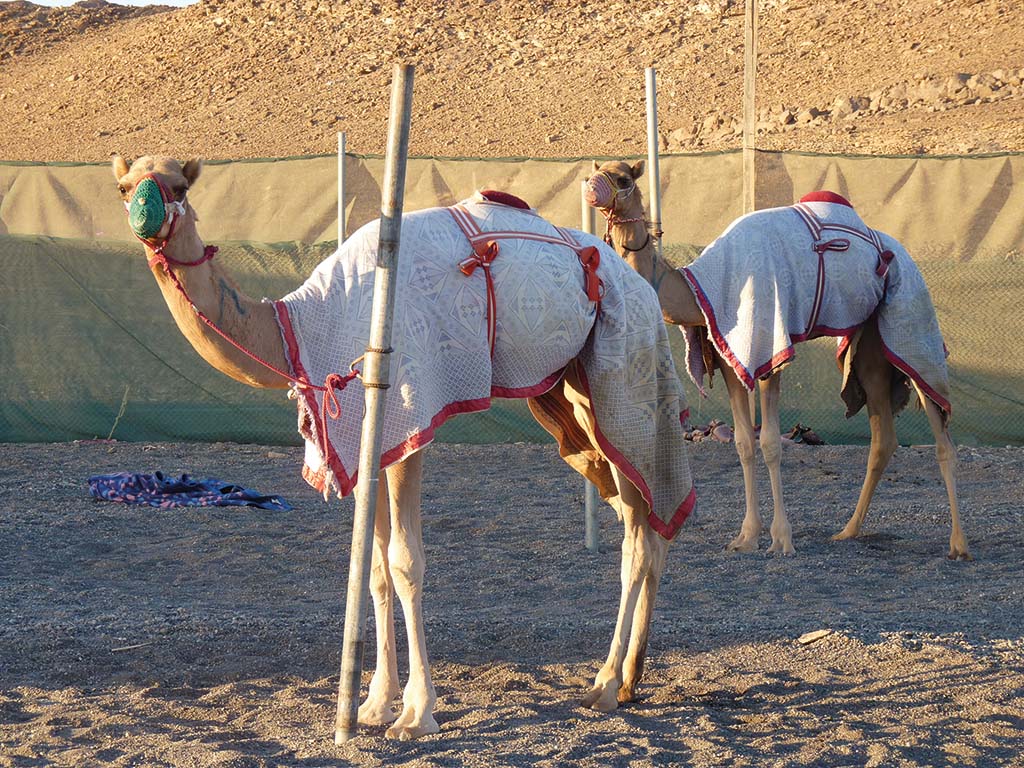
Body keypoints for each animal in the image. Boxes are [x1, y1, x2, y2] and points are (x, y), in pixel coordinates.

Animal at [112, 154, 696, 740]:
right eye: (123, 185)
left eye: (178, 185)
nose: (144, 217)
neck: (298, 327)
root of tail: (641, 286)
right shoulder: (367, 439)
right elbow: (372, 569)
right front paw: (373, 705)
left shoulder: (409, 417)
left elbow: (404, 562)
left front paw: (416, 714)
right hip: (571, 395)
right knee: (648, 518)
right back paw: (631, 678)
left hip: (625, 370)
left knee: (639, 533)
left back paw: (604, 686)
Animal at [586, 159, 971, 561]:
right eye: (598, 170)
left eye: (623, 178)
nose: (592, 189)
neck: (697, 289)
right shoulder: (730, 357)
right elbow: (743, 443)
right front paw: (745, 537)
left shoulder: (770, 348)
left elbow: (770, 442)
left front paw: (781, 539)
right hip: (869, 348)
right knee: (883, 437)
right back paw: (848, 531)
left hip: (910, 316)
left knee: (940, 431)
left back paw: (958, 544)